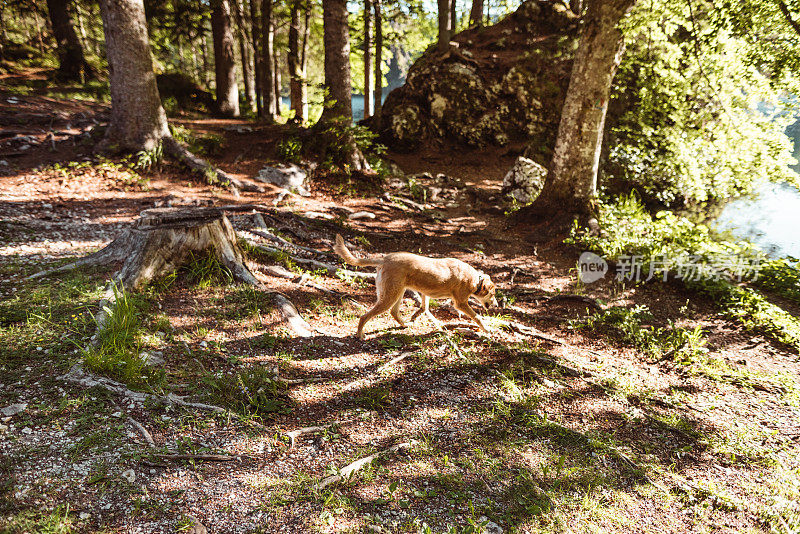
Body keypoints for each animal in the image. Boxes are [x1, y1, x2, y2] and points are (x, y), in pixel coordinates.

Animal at [332, 236, 496, 344]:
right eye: (493, 294)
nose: (496, 305)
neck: (476, 280)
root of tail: (385, 259)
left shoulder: (425, 293)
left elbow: (423, 308)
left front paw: (417, 318)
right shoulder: (461, 303)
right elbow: (477, 317)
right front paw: (487, 329)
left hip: (398, 292)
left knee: (394, 312)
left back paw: (405, 324)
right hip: (390, 296)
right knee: (364, 317)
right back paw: (360, 335)